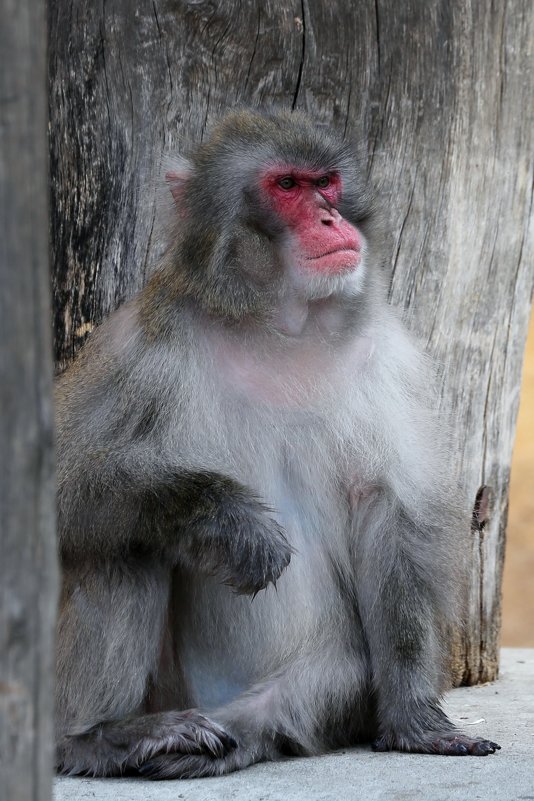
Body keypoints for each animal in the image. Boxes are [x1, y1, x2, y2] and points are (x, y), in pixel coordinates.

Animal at [55, 109, 502, 780]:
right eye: (287, 185)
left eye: (328, 183)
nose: (330, 219)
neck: (280, 324)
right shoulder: (145, 339)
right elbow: (56, 479)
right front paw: (224, 517)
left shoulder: (387, 357)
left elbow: (390, 512)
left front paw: (417, 721)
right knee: (122, 537)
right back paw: (102, 738)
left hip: (322, 678)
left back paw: (235, 736)